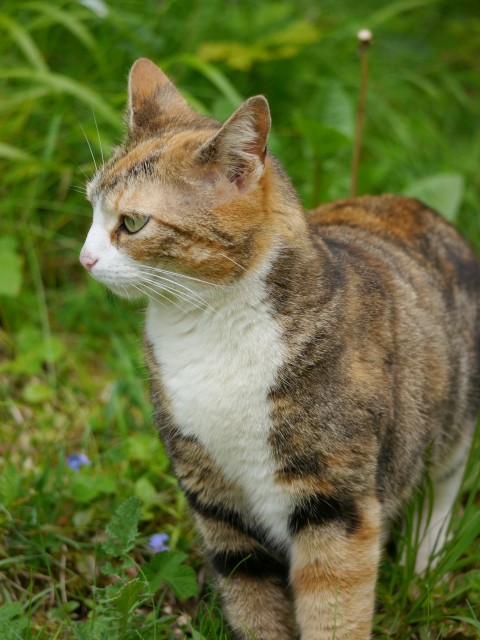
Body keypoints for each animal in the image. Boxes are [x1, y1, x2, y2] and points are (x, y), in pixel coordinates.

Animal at [79, 57, 480, 636]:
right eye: (91, 209)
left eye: (132, 222)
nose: (84, 259)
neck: (210, 326)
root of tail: (418, 207)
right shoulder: (213, 496)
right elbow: (250, 593)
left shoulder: (334, 502)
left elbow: (333, 604)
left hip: (453, 414)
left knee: (443, 482)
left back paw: (425, 560)